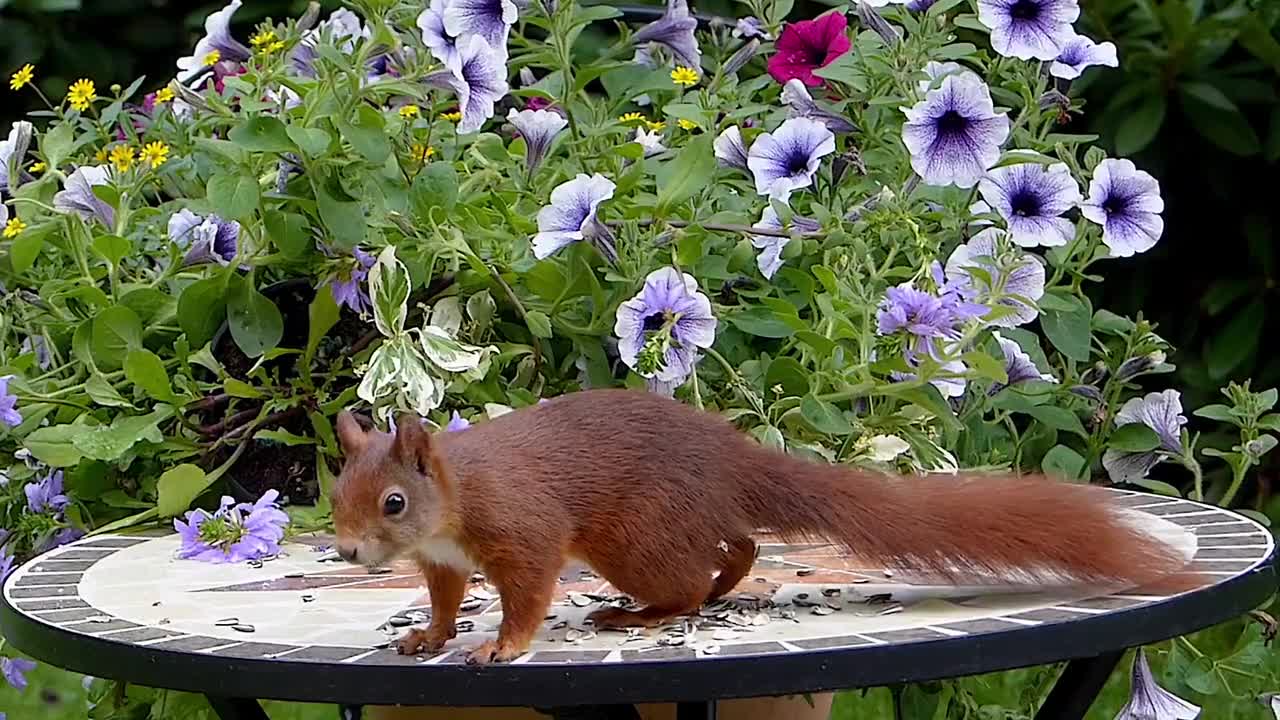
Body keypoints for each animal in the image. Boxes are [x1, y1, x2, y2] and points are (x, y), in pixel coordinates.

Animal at [332, 386, 1187, 661]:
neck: (456, 498)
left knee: (690, 574)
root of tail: (730, 458)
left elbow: (529, 594)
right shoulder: (444, 560)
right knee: (735, 544)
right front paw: (430, 636)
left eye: (394, 503)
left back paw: (643, 615)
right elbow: (446, 599)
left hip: (634, 539)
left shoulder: (524, 531)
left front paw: (501, 647)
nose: (344, 551)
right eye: (337, 491)